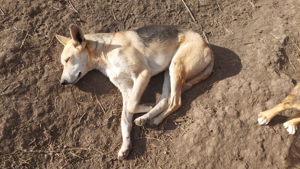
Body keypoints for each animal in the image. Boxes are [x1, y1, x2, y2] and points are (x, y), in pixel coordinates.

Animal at [54, 24, 213, 159]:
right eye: (63, 62)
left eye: (68, 59)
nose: (62, 83)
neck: (105, 52)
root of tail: (209, 48)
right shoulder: (126, 89)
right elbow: (124, 120)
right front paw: (125, 146)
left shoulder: (143, 74)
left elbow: (131, 106)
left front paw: (147, 106)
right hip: (168, 72)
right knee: (166, 100)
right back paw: (146, 118)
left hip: (176, 66)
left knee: (176, 102)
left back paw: (153, 118)